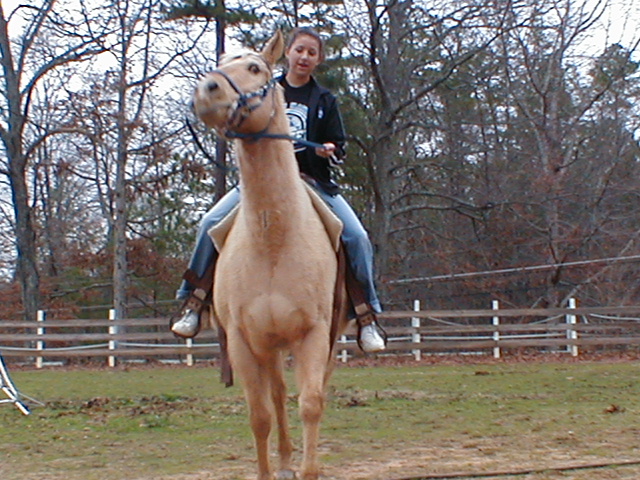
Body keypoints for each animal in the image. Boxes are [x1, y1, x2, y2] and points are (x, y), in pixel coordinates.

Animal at [191, 31, 350, 480]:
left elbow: (311, 404)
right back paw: (283, 460)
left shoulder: (314, 334)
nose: (206, 91)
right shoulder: (243, 341)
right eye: (220, 63)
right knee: (277, 395)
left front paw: (309, 468)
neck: (274, 239)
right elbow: (260, 415)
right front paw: (273, 466)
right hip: (269, 344)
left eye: (255, 68)